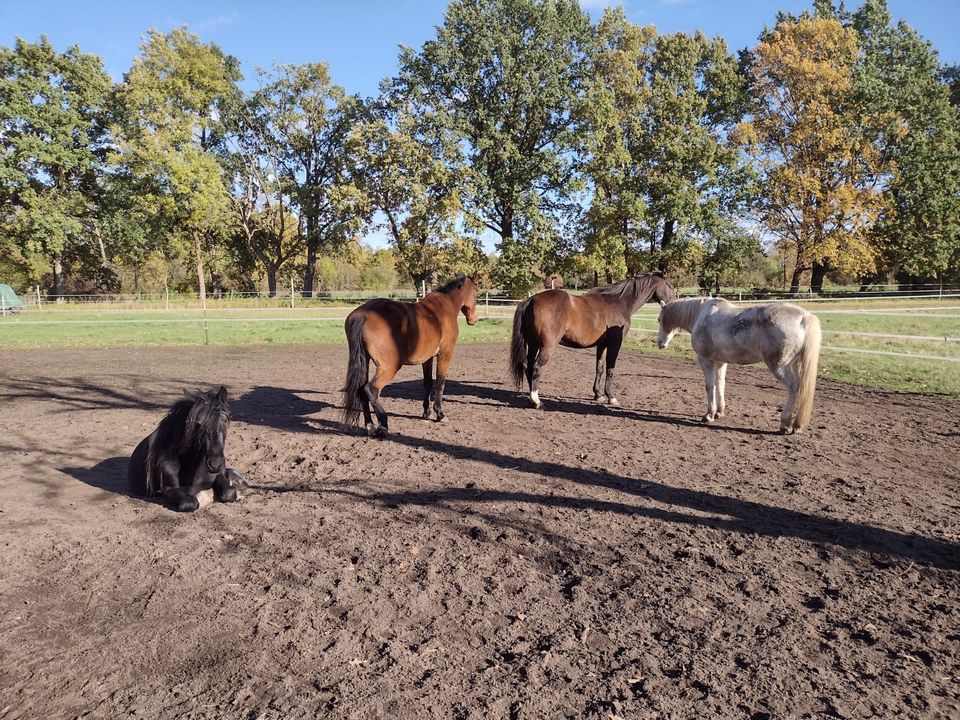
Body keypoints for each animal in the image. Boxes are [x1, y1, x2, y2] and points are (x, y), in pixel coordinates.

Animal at [344, 272, 480, 436]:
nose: (474, 319)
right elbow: (440, 383)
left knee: (361, 389)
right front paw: (440, 414)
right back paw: (383, 424)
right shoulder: (445, 354)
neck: (444, 306)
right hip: (389, 368)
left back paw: (370, 425)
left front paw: (427, 413)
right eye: (476, 292)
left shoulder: (427, 358)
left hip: (365, 361)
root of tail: (364, 314)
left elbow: (428, 383)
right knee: (371, 389)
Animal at [510, 274, 676, 410]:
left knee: (528, 367)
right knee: (536, 368)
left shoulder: (602, 345)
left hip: (533, 345)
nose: (673, 303)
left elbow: (600, 368)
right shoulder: (615, 344)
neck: (620, 302)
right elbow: (610, 369)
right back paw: (537, 401)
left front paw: (598, 394)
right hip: (546, 346)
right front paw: (611, 397)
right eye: (670, 285)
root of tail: (531, 300)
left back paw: (531, 399)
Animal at [656, 296, 820, 434]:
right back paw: (795, 424)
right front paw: (719, 412)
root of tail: (804, 317)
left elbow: (709, 386)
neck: (701, 315)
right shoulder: (720, 362)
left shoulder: (706, 360)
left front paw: (709, 415)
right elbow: (720, 384)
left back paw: (785, 423)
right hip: (795, 365)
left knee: (793, 387)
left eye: (659, 319)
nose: (660, 343)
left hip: (779, 366)